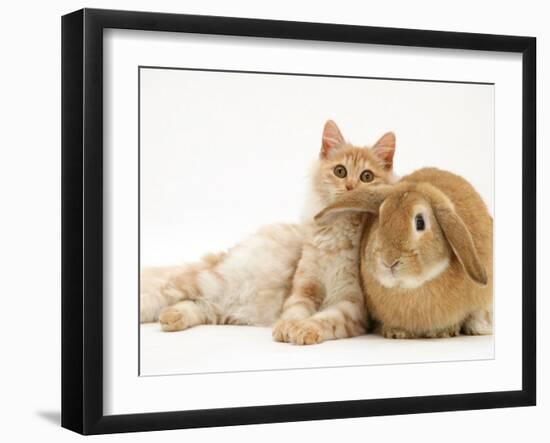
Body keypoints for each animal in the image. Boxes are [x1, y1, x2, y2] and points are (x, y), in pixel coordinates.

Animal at [140, 119, 398, 346]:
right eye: (340, 171)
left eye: (366, 176)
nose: (350, 188)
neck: (337, 236)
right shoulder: (302, 289)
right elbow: (295, 311)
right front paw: (287, 328)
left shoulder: (352, 306)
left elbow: (325, 320)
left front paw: (305, 329)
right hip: (211, 280)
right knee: (164, 290)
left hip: (222, 303)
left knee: (196, 304)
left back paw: (172, 317)